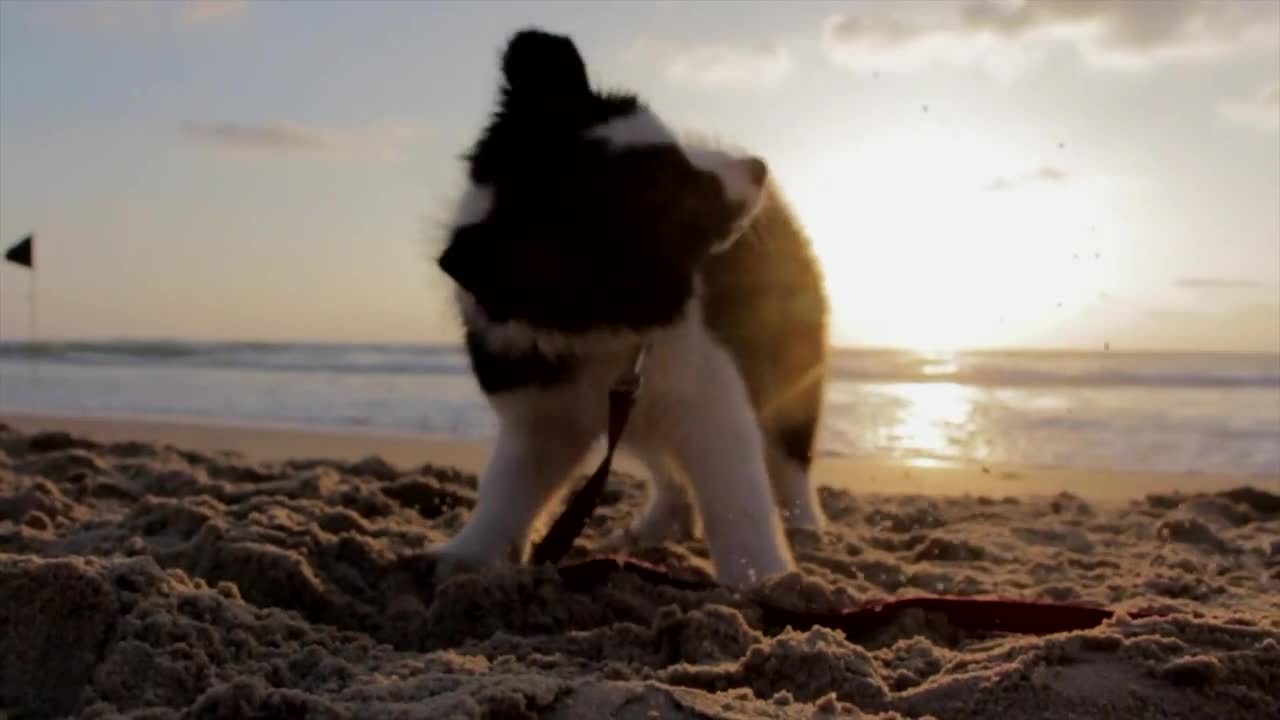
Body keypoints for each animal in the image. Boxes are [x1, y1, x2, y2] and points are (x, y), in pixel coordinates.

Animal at [432, 28, 829, 589]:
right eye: (684, 196)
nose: (759, 168)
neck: (602, 327)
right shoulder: (540, 416)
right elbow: (506, 489)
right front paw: (467, 556)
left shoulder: (710, 399)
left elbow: (739, 501)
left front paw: (764, 580)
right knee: (663, 459)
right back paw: (661, 521)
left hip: (787, 359)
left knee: (791, 456)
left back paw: (805, 525)